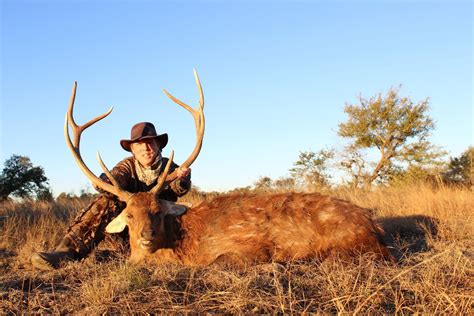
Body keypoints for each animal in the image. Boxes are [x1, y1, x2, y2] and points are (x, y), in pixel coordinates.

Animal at [65, 69, 394, 266]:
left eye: (157, 211)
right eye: (130, 215)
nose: (146, 237)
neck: (184, 246)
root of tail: (374, 225)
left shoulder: (246, 246)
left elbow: (224, 260)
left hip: (352, 244)